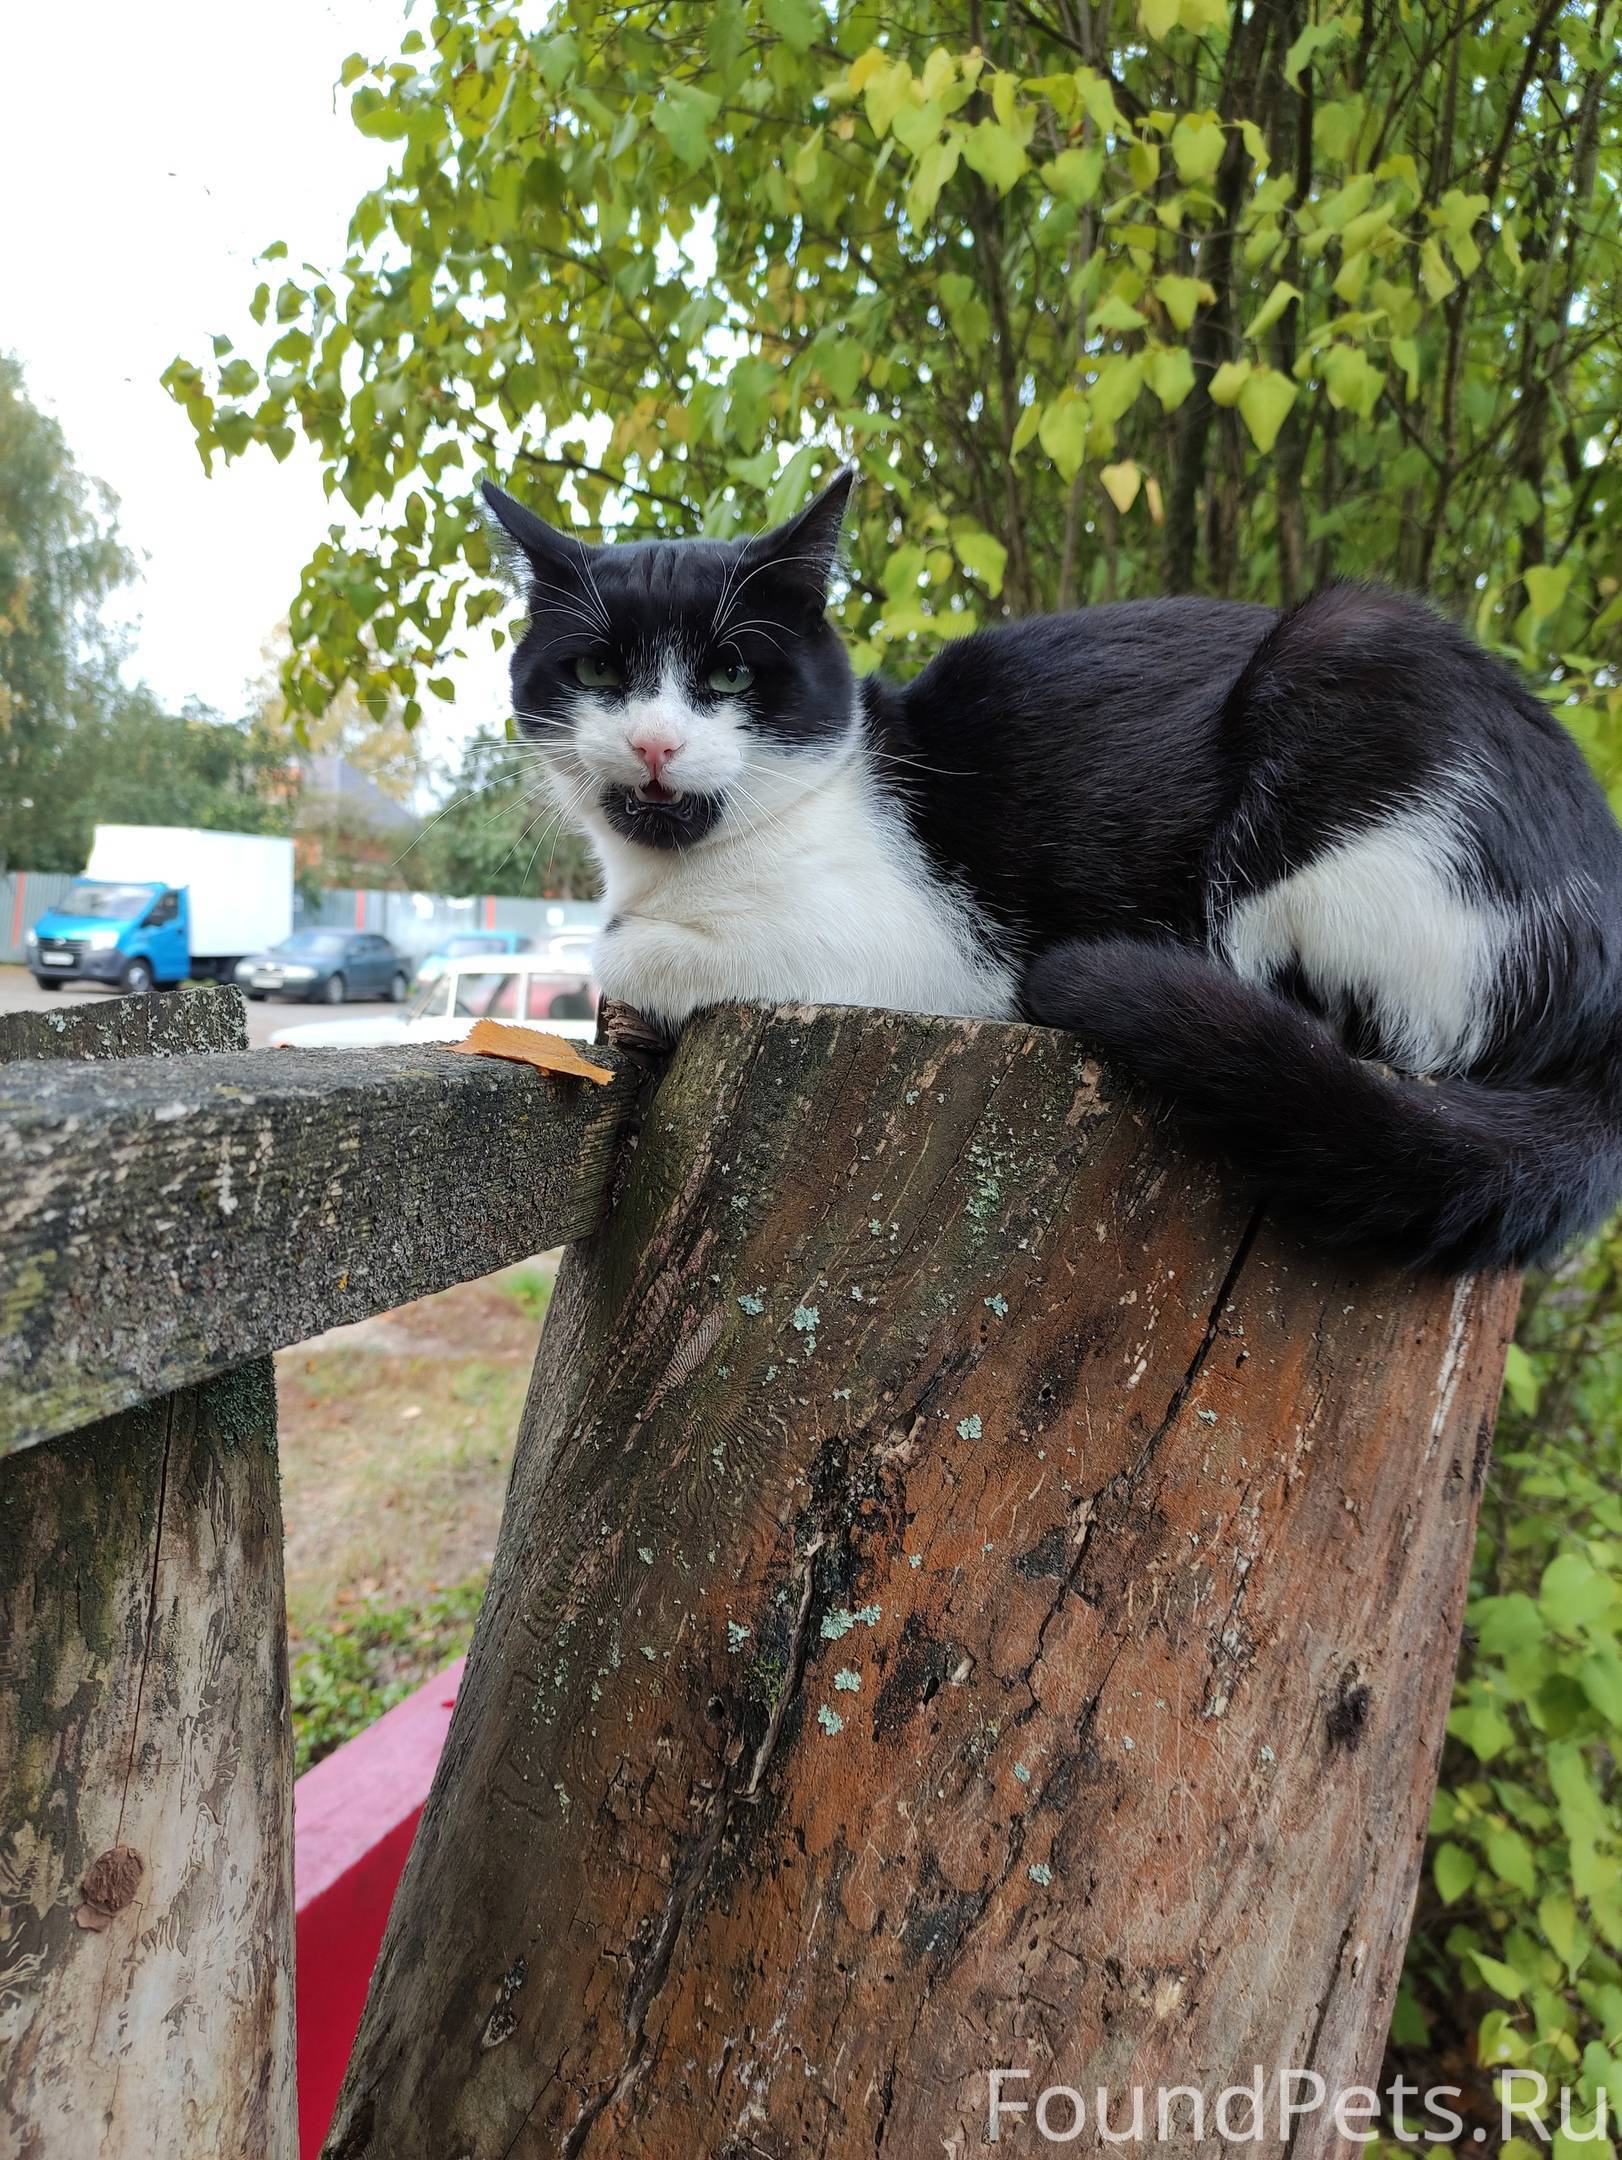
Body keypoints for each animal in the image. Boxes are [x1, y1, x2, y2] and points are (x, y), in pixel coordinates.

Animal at [479, 473, 1622, 1270]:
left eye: (726, 675)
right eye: (595, 669)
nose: (654, 742)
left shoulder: (928, 952)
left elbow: (625, 950)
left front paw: (629, 974)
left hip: (1349, 671)